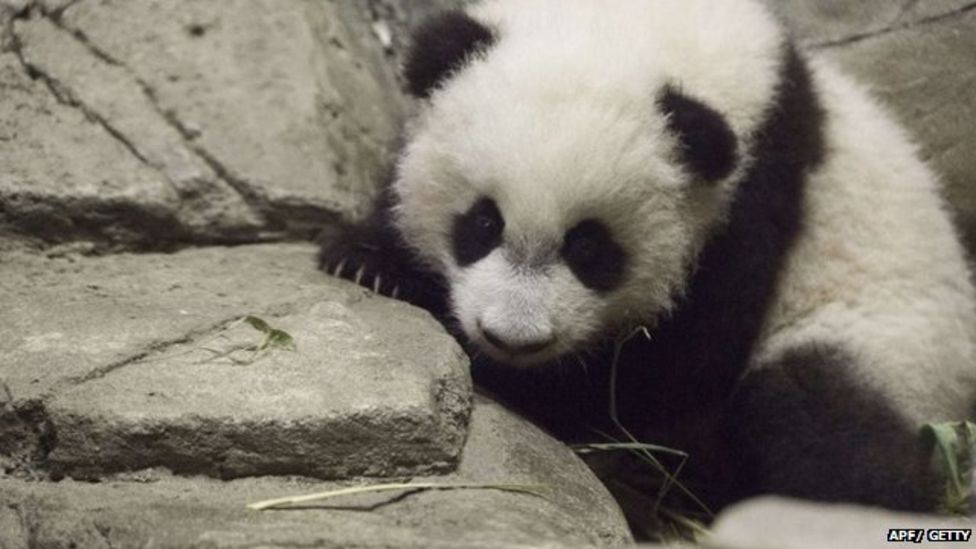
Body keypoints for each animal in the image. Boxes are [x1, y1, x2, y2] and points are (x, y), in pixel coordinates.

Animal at [319, 0, 976, 513]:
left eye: (590, 248)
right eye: (483, 222)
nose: (511, 339)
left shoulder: (753, 194)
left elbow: (675, 367)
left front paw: (524, 384)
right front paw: (369, 260)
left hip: (892, 348)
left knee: (822, 429)